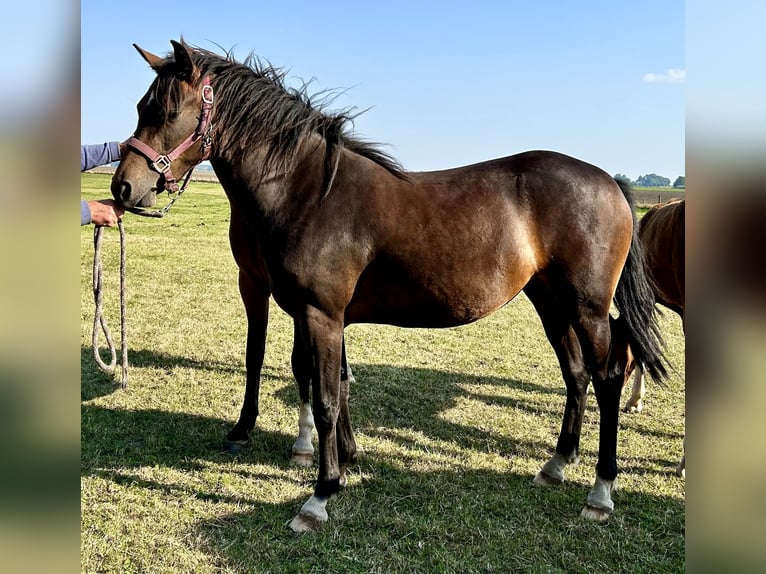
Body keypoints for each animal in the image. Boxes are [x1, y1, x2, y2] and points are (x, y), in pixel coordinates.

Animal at [111, 41, 668, 536]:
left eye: (167, 111)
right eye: (141, 107)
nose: (123, 187)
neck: (310, 191)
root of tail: (608, 181)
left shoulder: (320, 314)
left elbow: (326, 398)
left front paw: (320, 496)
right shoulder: (317, 315)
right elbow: (332, 386)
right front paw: (345, 463)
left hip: (587, 306)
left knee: (608, 376)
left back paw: (600, 493)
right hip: (550, 301)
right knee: (576, 374)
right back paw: (555, 465)